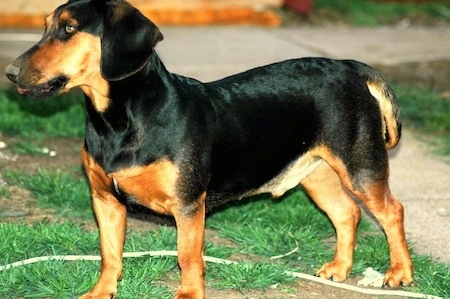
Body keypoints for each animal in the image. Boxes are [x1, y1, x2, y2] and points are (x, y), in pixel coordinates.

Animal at [3, 0, 414, 298]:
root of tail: (349, 66)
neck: (121, 120)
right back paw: (339, 268)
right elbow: (110, 254)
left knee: (392, 211)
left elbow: (188, 256)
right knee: (347, 213)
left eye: (69, 29)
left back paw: (400, 273)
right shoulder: (105, 200)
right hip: (316, 173)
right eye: (45, 25)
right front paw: (101, 293)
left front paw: (188, 295)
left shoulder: (188, 205)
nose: (10, 73)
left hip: (360, 167)